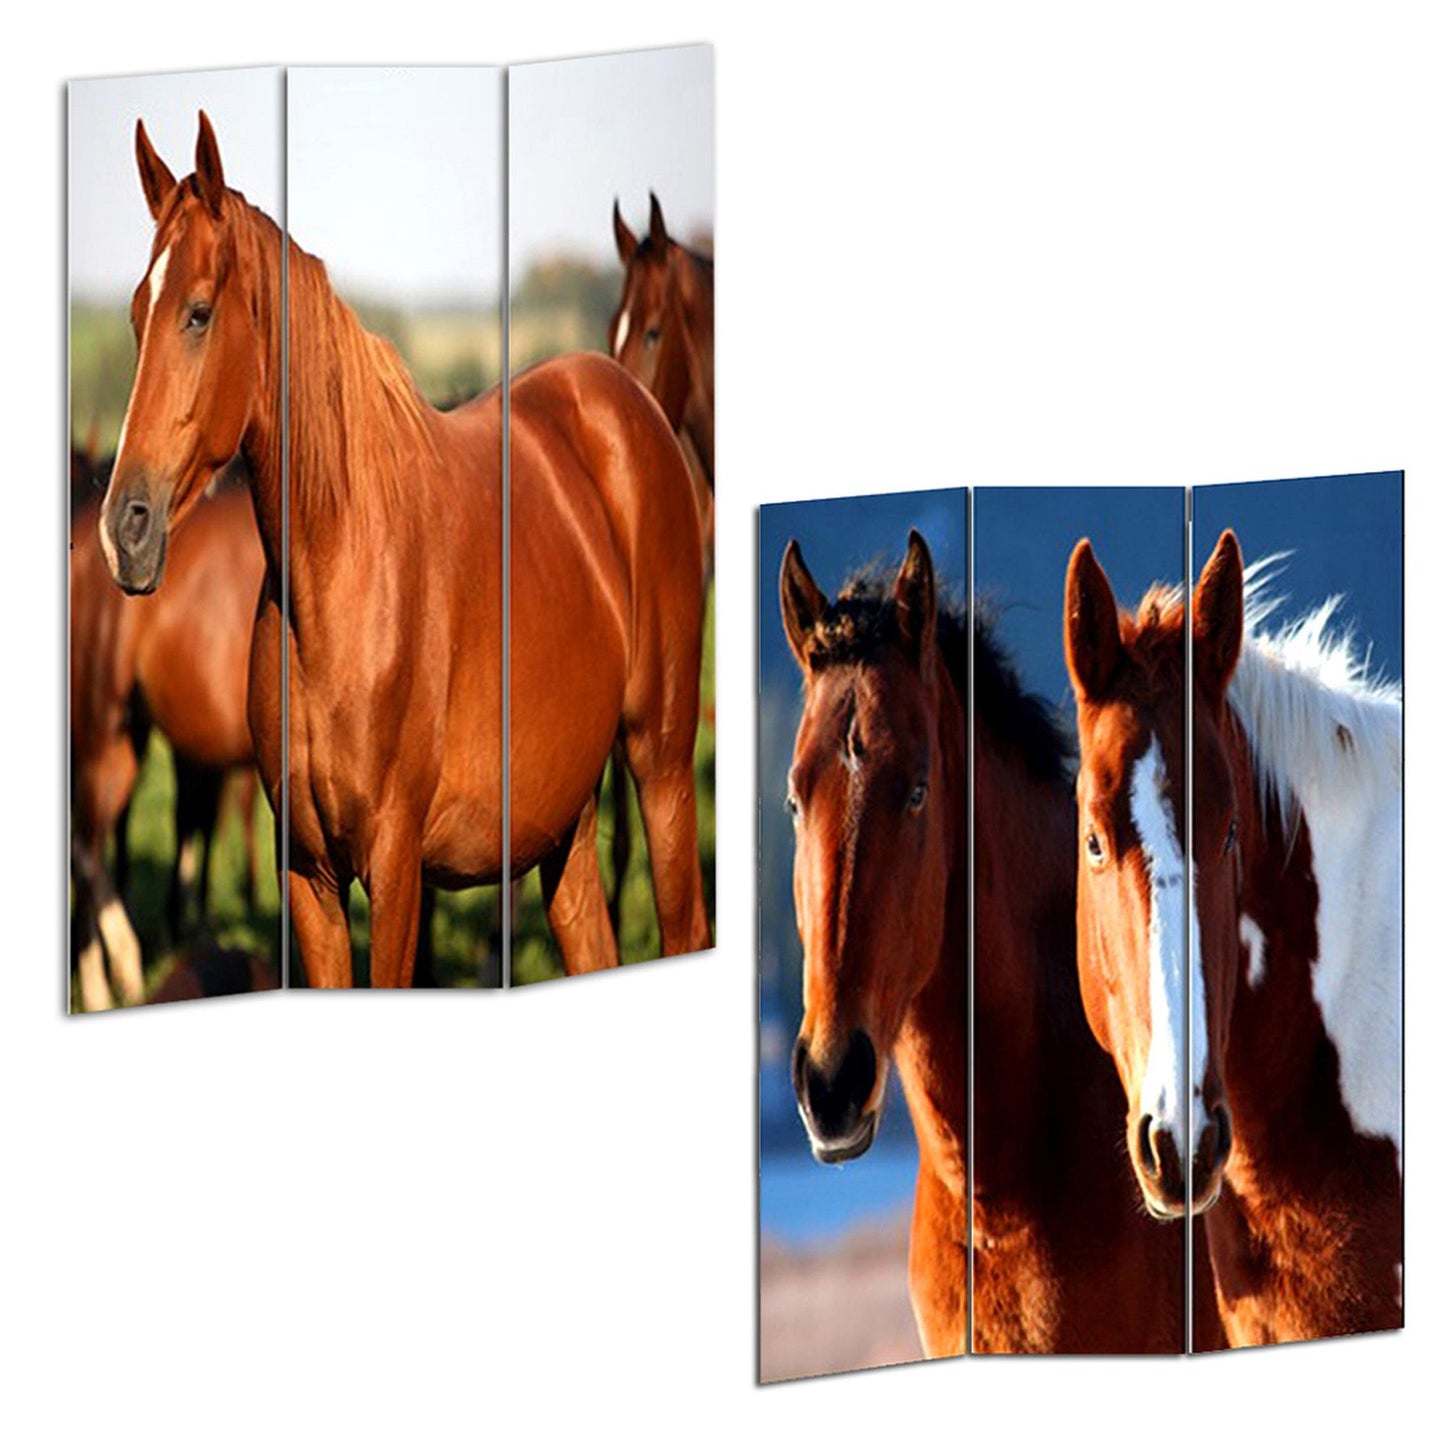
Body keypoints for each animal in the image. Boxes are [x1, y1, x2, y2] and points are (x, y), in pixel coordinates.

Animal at [99, 112, 710, 986]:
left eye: (198, 312)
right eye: (133, 314)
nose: (125, 529)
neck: (339, 576)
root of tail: (628, 404)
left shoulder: (393, 868)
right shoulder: (309, 877)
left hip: (660, 767)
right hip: (563, 820)